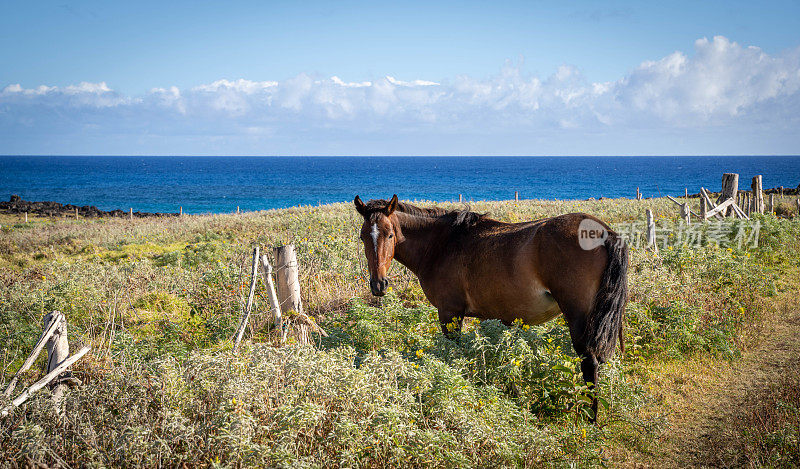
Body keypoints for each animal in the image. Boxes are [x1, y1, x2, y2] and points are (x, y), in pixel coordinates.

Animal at [354, 194, 628, 420]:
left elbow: (455, 354)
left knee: (589, 362)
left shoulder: (450, 313)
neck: (441, 244)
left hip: (579, 316)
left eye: (390, 234)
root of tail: (605, 232)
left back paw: (590, 417)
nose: (378, 284)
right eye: (363, 237)